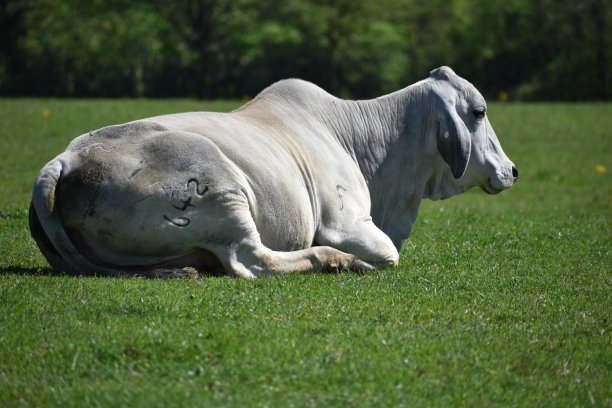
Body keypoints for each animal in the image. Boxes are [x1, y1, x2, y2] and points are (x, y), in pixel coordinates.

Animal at [28, 67, 516, 278]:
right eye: (479, 111)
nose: (512, 170)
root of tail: (66, 160)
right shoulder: (347, 223)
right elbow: (388, 255)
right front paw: (353, 258)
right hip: (223, 192)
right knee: (251, 261)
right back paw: (333, 260)